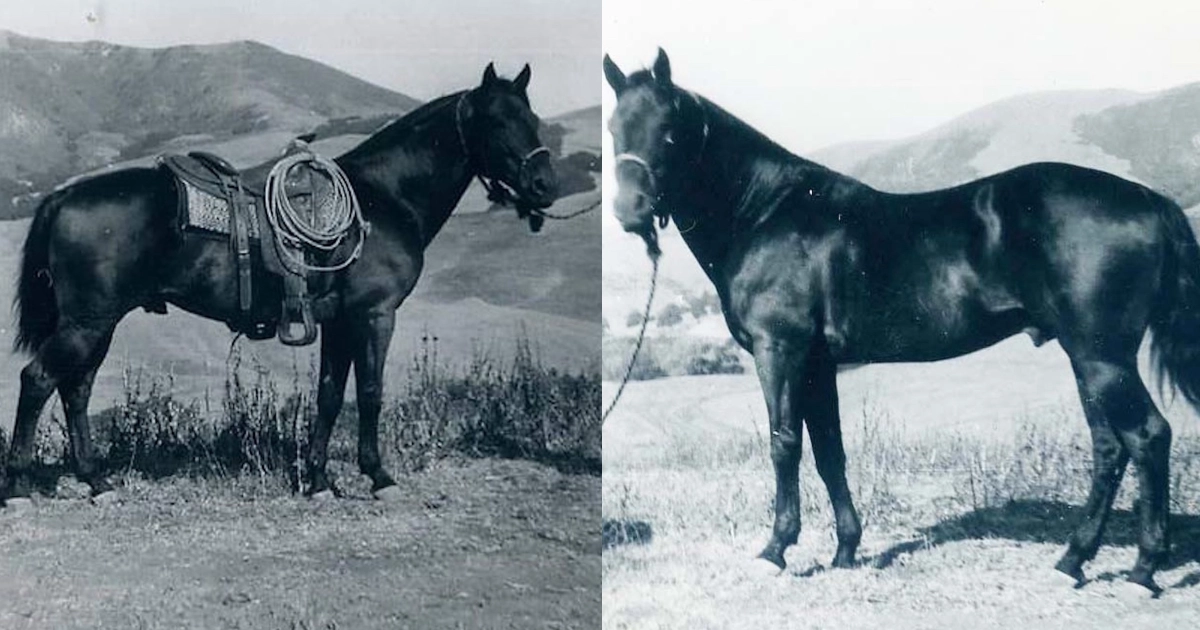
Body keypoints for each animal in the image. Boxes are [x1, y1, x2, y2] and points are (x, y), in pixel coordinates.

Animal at [3, 63, 558, 506]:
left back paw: (96, 482)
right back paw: (18, 488)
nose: (544, 186)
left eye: (532, 119)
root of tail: (64, 196)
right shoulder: (374, 315)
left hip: (98, 324)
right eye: (497, 121)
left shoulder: (339, 322)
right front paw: (379, 477)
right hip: (87, 323)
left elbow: (330, 395)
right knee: (38, 381)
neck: (381, 198)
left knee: (75, 390)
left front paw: (318, 481)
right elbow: (371, 392)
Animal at [603, 48, 1200, 595]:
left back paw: (1143, 568)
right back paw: (1073, 560)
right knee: (1110, 447)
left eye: (669, 131)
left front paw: (775, 550)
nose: (631, 212)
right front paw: (846, 550)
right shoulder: (819, 365)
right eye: (614, 128)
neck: (766, 213)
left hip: (1101, 355)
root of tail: (1150, 200)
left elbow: (784, 444)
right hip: (1088, 357)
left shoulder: (782, 351)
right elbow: (830, 451)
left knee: (1147, 436)